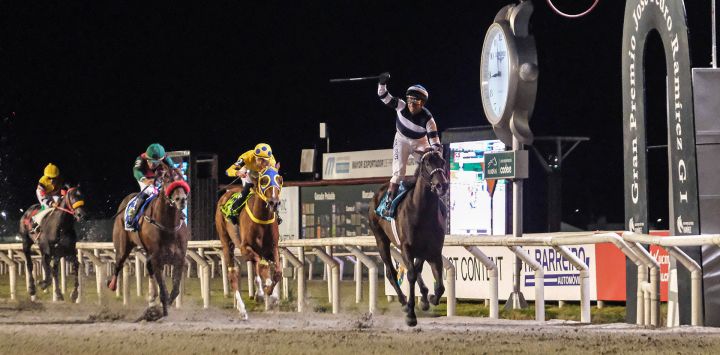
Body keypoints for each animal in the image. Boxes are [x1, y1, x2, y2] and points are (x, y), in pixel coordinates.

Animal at [108, 168, 190, 318]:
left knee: (149, 269)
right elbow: (163, 289)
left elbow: (175, 290)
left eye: (182, 177)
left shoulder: (179, 259)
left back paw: (152, 299)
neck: (168, 226)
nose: (181, 199)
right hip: (122, 247)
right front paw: (162, 311)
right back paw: (112, 284)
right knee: (118, 264)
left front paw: (163, 306)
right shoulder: (157, 259)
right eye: (167, 179)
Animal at [215, 167, 282, 320]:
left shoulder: (272, 248)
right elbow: (261, 265)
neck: (262, 219)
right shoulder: (245, 247)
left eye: (280, 179)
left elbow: (277, 272)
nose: (274, 203)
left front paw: (271, 294)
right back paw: (242, 309)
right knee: (233, 274)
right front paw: (264, 292)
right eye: (264, 180)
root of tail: (225, 194)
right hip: (226, 243)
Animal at [368, 149, 448, 326]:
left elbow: (439, 286)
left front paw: (430, 298)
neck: (422, 211)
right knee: (391, 272)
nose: (442, 185)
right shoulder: (406, 247)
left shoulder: (434, 251)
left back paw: (423, 297)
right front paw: (411, 314)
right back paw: (404, 302)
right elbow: (410, 274)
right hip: (381, 240)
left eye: (443, 162)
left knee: (415, 268)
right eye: (427, 164)